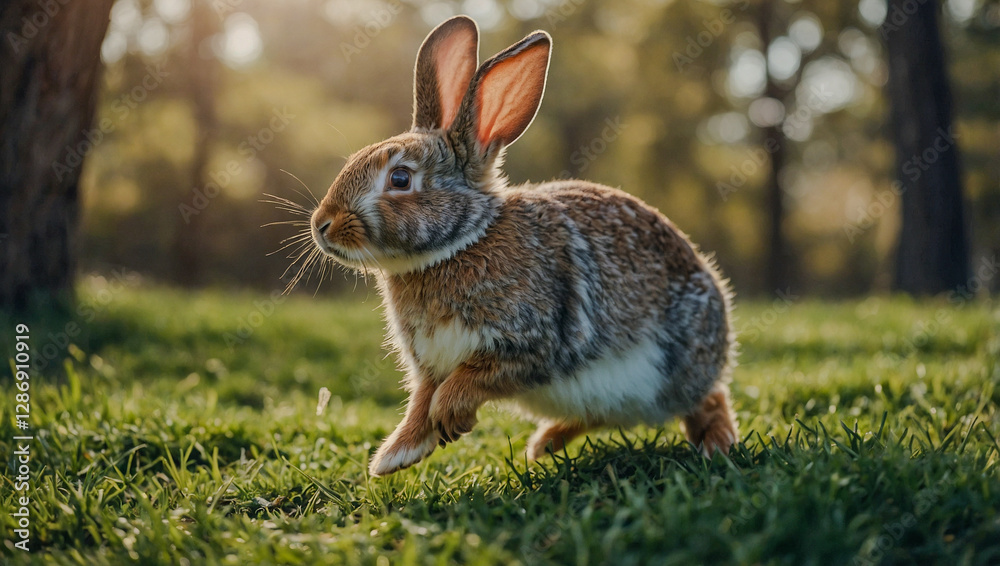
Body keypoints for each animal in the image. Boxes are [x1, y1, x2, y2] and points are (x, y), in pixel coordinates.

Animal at [309, 15, 739, 477]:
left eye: (401, 178)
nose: (322, 226)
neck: (460, 243)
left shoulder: (532, 344)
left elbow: (468, 380)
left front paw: (448, 418)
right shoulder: (430, 364)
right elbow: (421, 400)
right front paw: (396, 455)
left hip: (678, 364)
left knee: (709, 397)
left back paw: (718, 443)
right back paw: (545, 444)